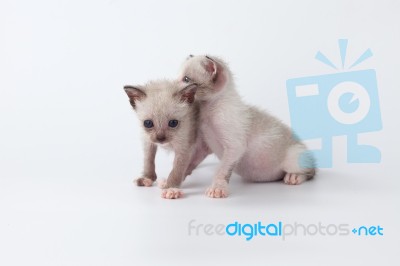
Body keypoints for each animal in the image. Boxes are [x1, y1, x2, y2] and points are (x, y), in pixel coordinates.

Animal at [178, 55, 316, 198]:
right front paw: (175, 181)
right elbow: (190, 162)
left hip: (293, 158)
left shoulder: (235, 146)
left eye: (186, 79)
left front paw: (217, 188)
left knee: (311, 171)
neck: (209, 110)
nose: (174, 87)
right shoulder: (203, 146)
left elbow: (223, 169)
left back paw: (294, 176)